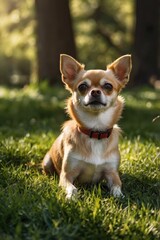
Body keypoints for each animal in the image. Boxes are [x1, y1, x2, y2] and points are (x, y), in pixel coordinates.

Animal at [42, 54, 132, 199]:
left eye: (108, 86)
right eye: (82, 87)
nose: (95, 92)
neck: (95, 131)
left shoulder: (112, 173)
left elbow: (117, 186)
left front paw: (119, 196)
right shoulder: (67, 175)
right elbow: (72, 187)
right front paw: (71, 197)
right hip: (47, 161)